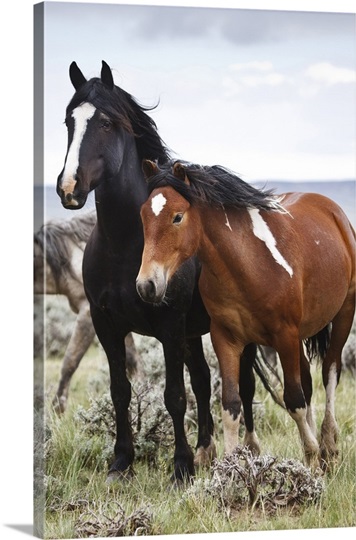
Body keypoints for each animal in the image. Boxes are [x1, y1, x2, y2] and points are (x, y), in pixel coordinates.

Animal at [56, 61, 272, 484]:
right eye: (69, 121)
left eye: (105, 122)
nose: (69, 187)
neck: (126, 245)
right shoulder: (107, 325)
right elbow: (120, 390)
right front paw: (121, 463)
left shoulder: (169, 326)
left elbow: (174, 396)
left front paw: (181, 468)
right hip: (193, 334)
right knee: (203, 381)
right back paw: (207, 451)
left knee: (244, 385)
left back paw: (247, 452)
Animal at [137, 159, 356, 468]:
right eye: (143, 216)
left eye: (177, 217)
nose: (147, 285)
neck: (249, 264)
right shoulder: (226, 339)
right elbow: (231, 404)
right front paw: (229, 467)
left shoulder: (285, 336)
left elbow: (294, 400)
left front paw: (312, 456)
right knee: (309, 381)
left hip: (344, 315)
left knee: (330, 373)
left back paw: (328, 443)